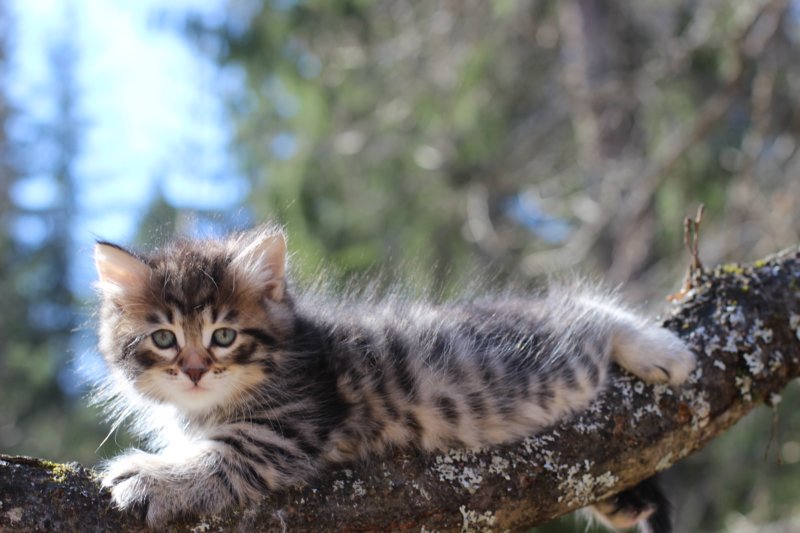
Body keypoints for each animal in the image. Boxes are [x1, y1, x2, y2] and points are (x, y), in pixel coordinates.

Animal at [93, 226, 695, 529]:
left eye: (223, 335)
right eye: (165, 339)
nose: (195, 370)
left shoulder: (281, 434)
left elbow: (212, 460)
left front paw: (149, 477)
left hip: (556, 361)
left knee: (585, 309)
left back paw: (661, 350)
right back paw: (621, 503)